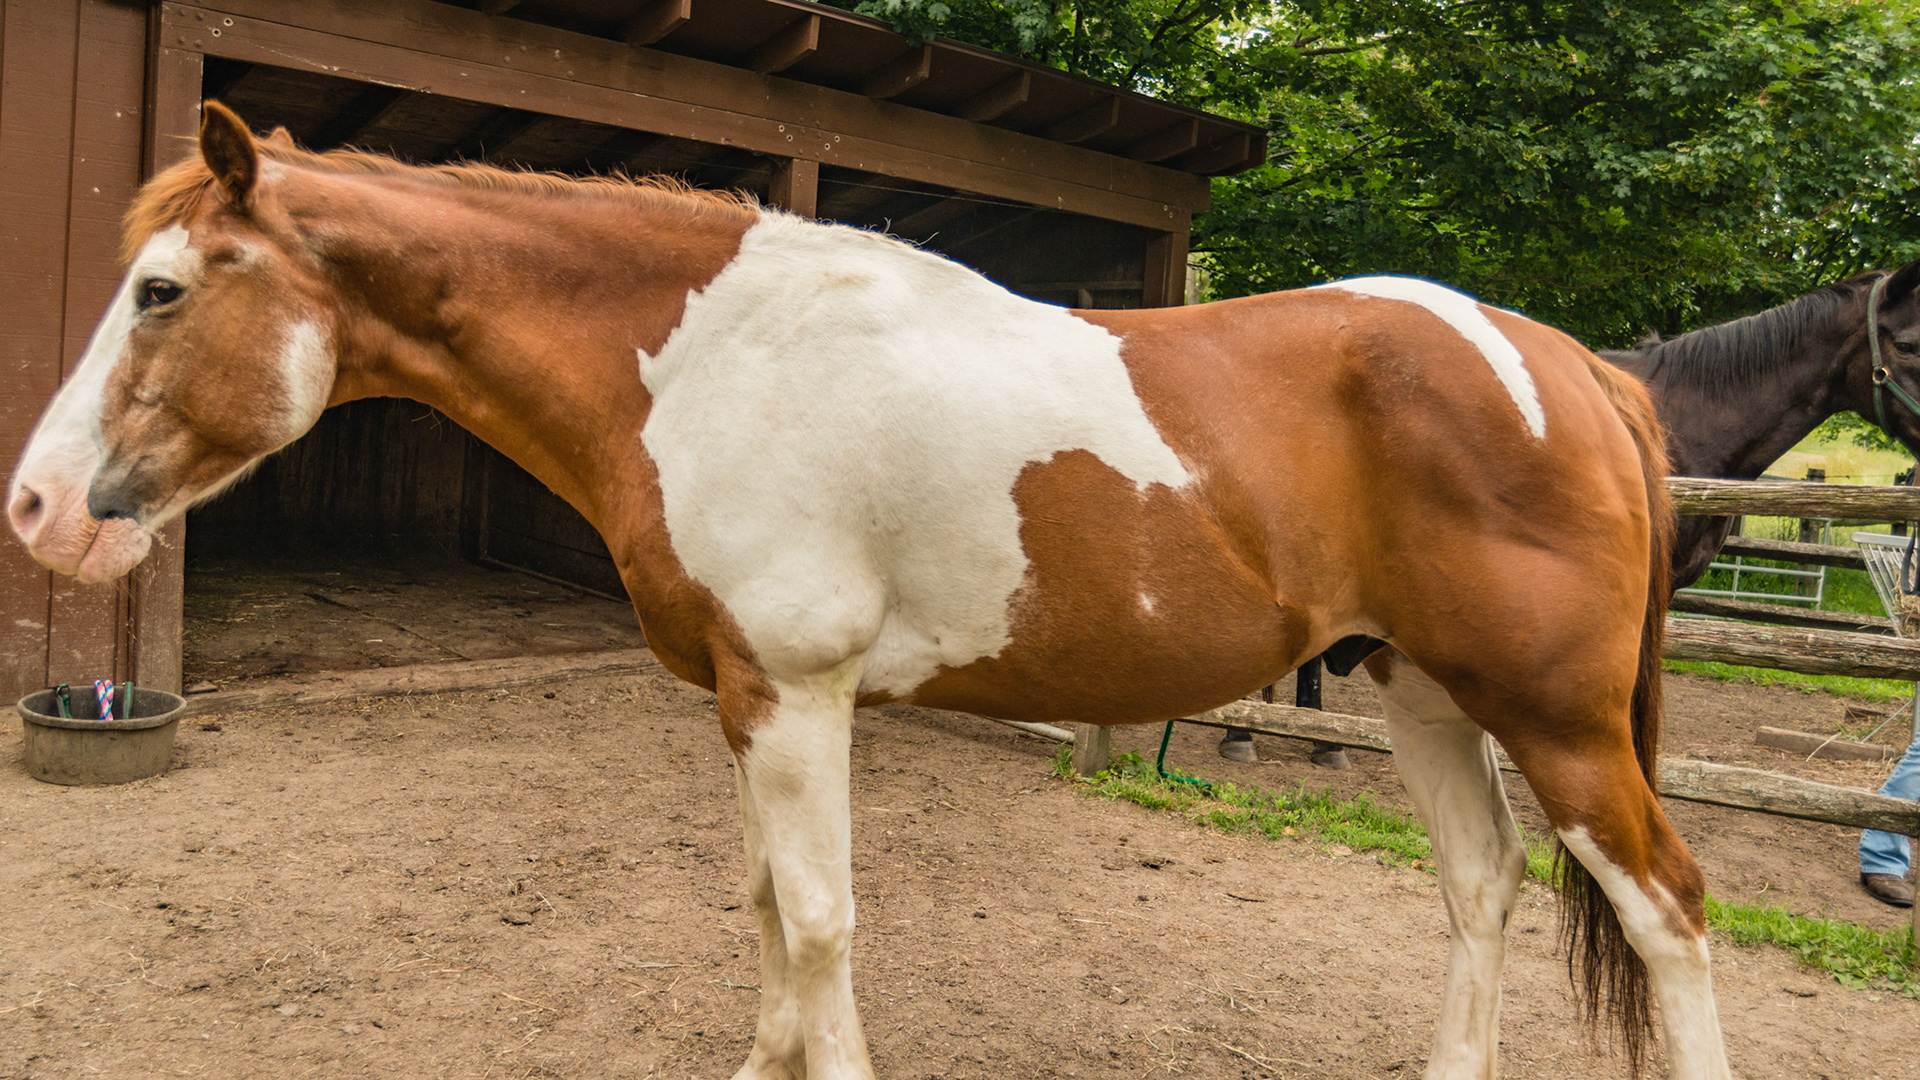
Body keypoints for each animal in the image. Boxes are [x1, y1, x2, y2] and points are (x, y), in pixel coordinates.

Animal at [8, 102, 1728, 1080]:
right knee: (1482, 890)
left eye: (161, 290)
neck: (707, 356)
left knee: (1671, 916)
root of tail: (1574, 368)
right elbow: (771, 913)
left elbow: (825, 920)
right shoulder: (742, 701)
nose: (35, 509)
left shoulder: (801, 691)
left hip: (1562, 724)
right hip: (1425, 695)